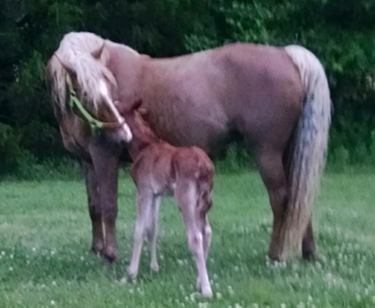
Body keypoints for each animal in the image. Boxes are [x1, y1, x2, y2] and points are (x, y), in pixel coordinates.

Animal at [47, 30, 332, 262]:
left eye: (109, 86)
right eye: (87, 94)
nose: (121, 135)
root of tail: (286, 55)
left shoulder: (105, 156)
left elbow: (108, 206)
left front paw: (109, 254)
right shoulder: (87, 161)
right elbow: (94, 206)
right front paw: (97, 248)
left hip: (267, 152)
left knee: (282, 197)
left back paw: (277, 254)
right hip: (290, 152)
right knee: (299, 196)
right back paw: (307, 252)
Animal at [119, 98, 214, 296]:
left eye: (116, 106)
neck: (139, 147)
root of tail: (206, 168)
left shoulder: (144, 189)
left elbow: (139, 230)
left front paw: (130, 274)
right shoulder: (157, 193)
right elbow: (152, 228)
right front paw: (154, 267)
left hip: (186, 198)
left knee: (195, 236)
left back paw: (206, 289)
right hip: (203, 201)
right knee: (207, 231)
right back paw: (199, 280)